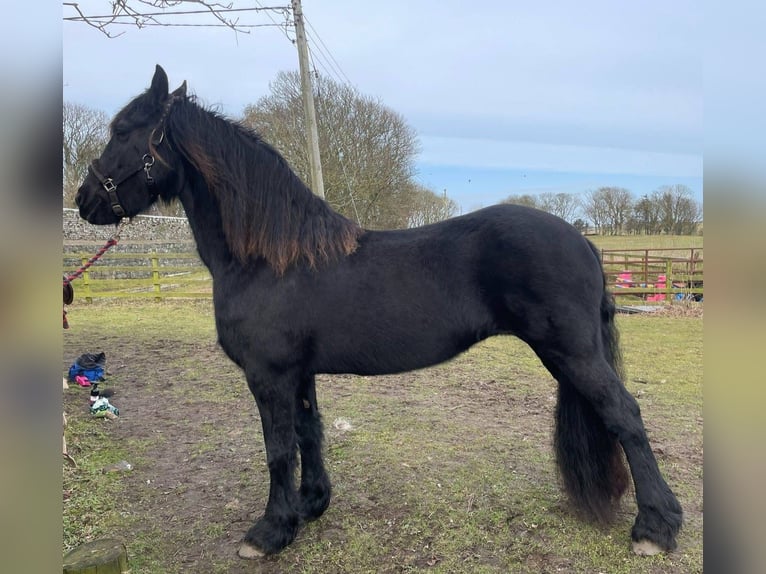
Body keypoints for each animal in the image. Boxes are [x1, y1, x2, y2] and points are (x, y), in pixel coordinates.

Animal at [76, 65, 684, 560]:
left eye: (122, 131)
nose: (85, 200)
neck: (269, 257)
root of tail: (581, 240)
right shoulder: (299, 374)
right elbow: (309, 433)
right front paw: (310, 506)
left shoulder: (269, 376)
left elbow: (277, 449)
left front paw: (269, 533)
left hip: (571, 352)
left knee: (625, 416)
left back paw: (655, 528)